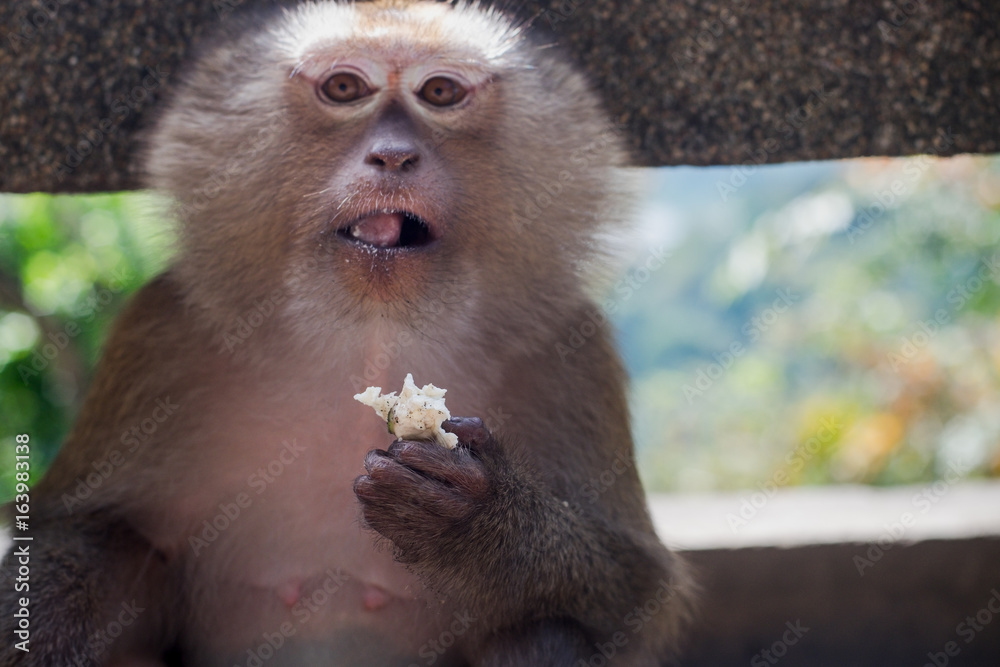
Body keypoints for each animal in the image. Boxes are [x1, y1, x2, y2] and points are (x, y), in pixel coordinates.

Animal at [0, 1, 695, 665]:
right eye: (343, 87)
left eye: (439, 92)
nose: (392, 155)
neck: (368, 336)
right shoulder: (164, 332)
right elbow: (87, 531)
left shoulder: (568, 352)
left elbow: (634, 594)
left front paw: (478, 525)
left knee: (541, 630)